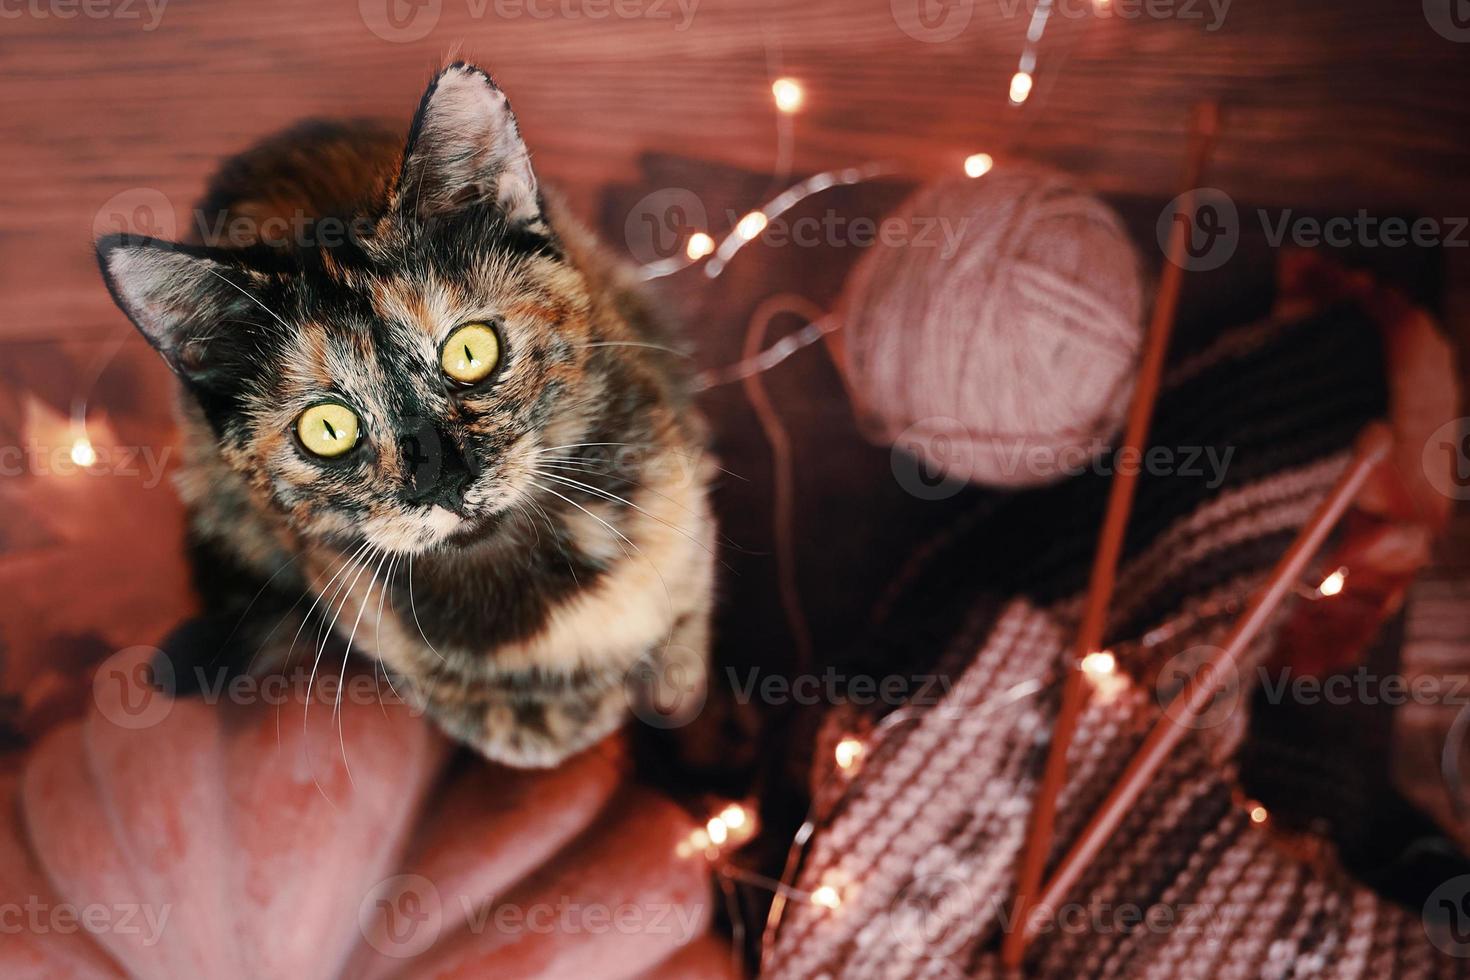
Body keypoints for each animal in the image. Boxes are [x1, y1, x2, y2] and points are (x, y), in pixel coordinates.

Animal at [94, 65, 714, 769]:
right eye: (328, 429)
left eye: (470, 350)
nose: (442, 480)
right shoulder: (354, 602)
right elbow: (483, 708)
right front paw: (560, 714)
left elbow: (684, 618)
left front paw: (662, 674)